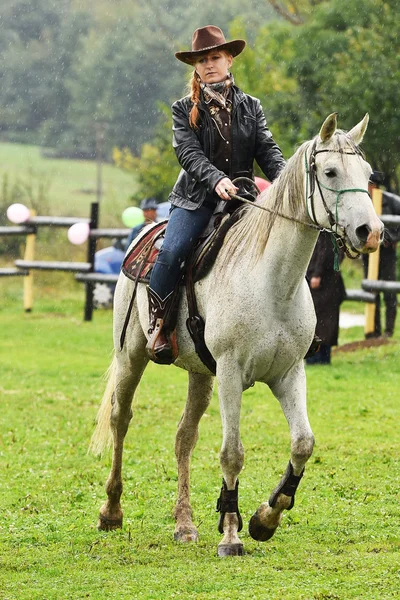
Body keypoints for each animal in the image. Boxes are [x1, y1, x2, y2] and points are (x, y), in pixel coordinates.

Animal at [89, 113, 382, 556]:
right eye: (330, 172)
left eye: (366, 174)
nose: (372, 231)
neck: (272, 283)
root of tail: (144, 235)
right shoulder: (229, 373)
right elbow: (232, 454)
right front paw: (231, 533)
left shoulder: (289, 374)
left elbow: (303, 443)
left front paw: (265, 518)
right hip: (132, 357)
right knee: (120, 419)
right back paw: (111, 511)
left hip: (199, 374)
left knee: (184, 437)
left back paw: (185, 524)